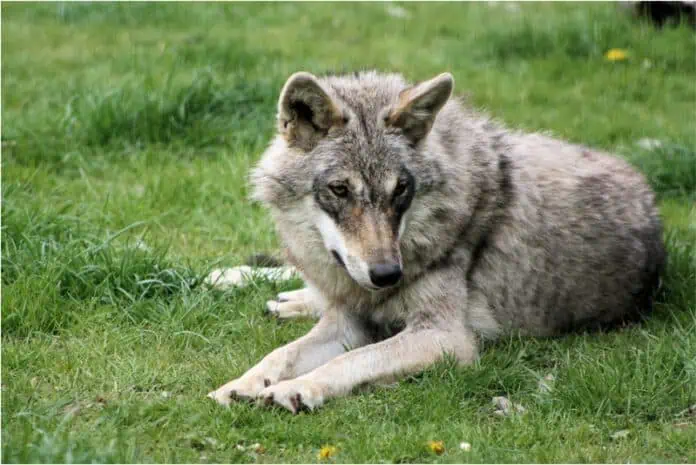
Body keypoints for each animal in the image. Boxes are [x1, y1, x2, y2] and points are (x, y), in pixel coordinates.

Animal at [205, 70, 664, 414]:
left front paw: (294, 388)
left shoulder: (445, 337)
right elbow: (280, 354)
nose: (387, 275)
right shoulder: (349, 319)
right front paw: (240, 384)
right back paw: (244, 284)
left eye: (400, 190)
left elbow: (353, 359)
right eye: (339, 190)